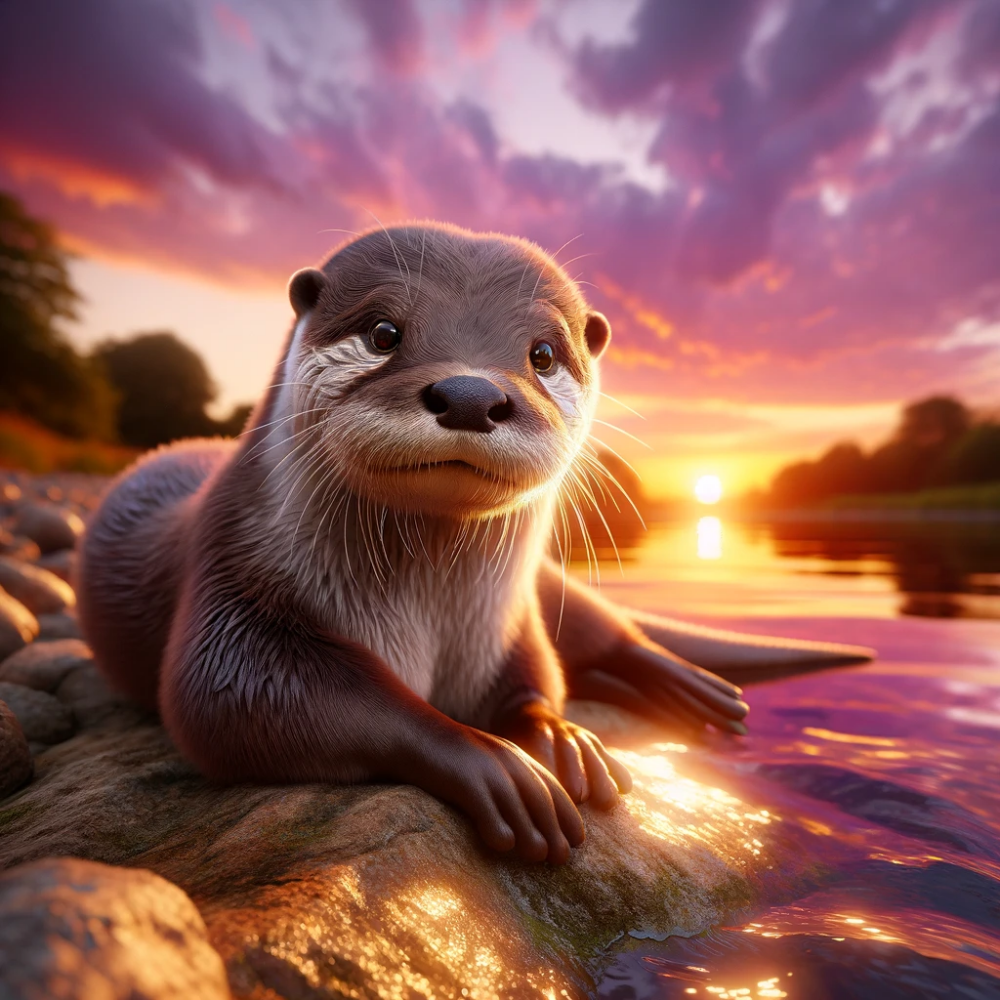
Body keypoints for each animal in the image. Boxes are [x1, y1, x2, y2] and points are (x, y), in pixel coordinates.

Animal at [77, 223, 871, 864]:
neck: (429, 614)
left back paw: (687, 688)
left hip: (550, 584)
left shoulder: (507, 623)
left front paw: (559, 737)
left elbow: (538, 680)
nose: (469, 394)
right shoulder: (233, 583)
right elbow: (226, 700)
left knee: (604, 631)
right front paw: (495, 762)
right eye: (384, 332)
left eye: (542, 353)